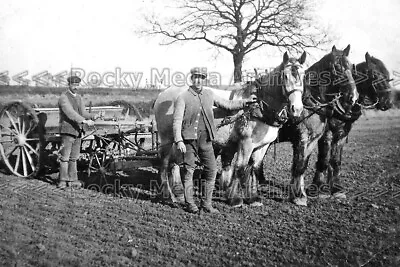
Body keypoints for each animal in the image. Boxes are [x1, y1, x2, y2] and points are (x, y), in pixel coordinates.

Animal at [154, 51, 306, 206]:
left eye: (304, 75)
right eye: (285, 76)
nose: (297, 108)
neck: (260, 107)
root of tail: (163, 94)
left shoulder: (262, 145)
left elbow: (254, 168)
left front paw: (253, 197)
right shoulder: (246, 143)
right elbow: (240, 168)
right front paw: (234, 198)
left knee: (174, 162)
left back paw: (178, 192)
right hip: (167, 138)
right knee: (164, 163)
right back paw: (167, 195)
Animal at [276, 45, 360, 206]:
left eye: (352, 67)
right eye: (337, 67)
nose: (353, 97)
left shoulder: (317, 139)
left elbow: (303, 165)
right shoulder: (304, 138)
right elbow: (302, 165)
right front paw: (300, 196)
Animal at [310, 52, 394, 199]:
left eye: (387, 75)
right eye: (375, 75)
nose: (388, 102)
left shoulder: (343, 132)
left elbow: (335, 160)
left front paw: (336, 187)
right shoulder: (326, 131)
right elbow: (323, 159)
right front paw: (317, 186)